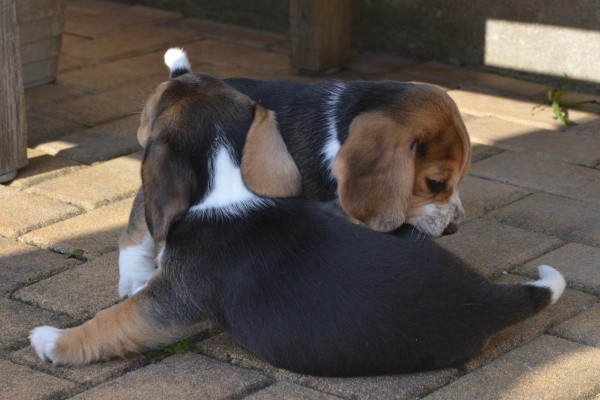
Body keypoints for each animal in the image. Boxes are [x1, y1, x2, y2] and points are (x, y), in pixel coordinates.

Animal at [118, 48, 471, 298]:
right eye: (434, 183)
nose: (454, 228)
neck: (334, 133)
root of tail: (182, 78)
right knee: (138, 226)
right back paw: (134, 278)